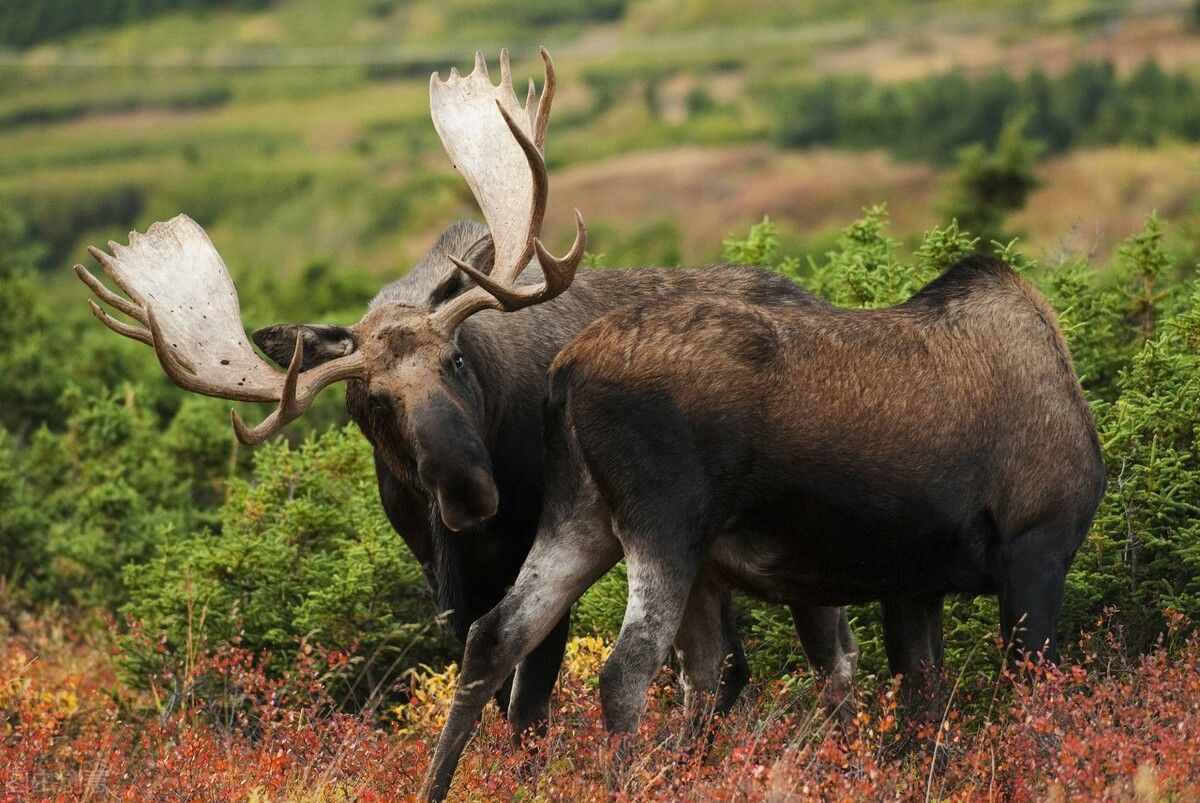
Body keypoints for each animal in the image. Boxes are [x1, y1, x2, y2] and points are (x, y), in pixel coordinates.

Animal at [72, 48, 854, 739]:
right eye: (371, 403)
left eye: (456, 360)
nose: (470, 491)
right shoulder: (442, 583)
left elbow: (526, 708)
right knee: (731, 666)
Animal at [422, 253, 1104, 796]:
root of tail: (565, 372)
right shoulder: (1036, 548)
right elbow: (1034, 704)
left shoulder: (914, 584)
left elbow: (919, 709)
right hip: (665, 526)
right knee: (626, 669)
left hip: (580, 519)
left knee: (495, 635)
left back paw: (439, 786)